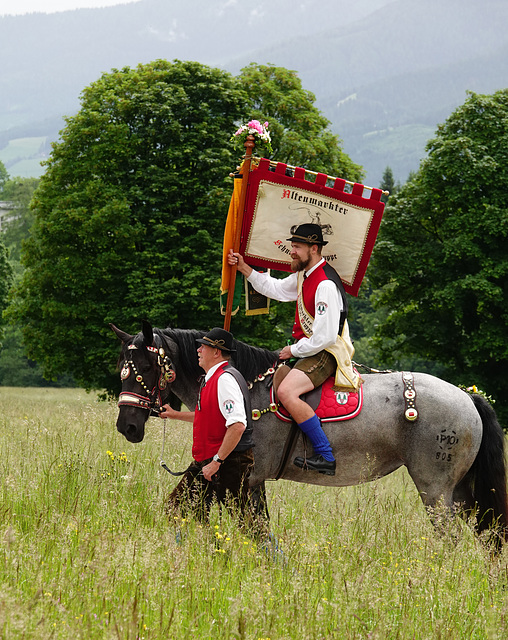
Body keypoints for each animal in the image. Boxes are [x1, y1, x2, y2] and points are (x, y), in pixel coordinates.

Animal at [112, 322, 508, 544]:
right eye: (122, 365)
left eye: (145, 364)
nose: (127, 425)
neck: (250, 387)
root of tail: (468, 397)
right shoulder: (251, 481)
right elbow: (256, 530)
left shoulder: (243, 476)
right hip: (462, 492)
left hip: (436, 491)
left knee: (450, 539)